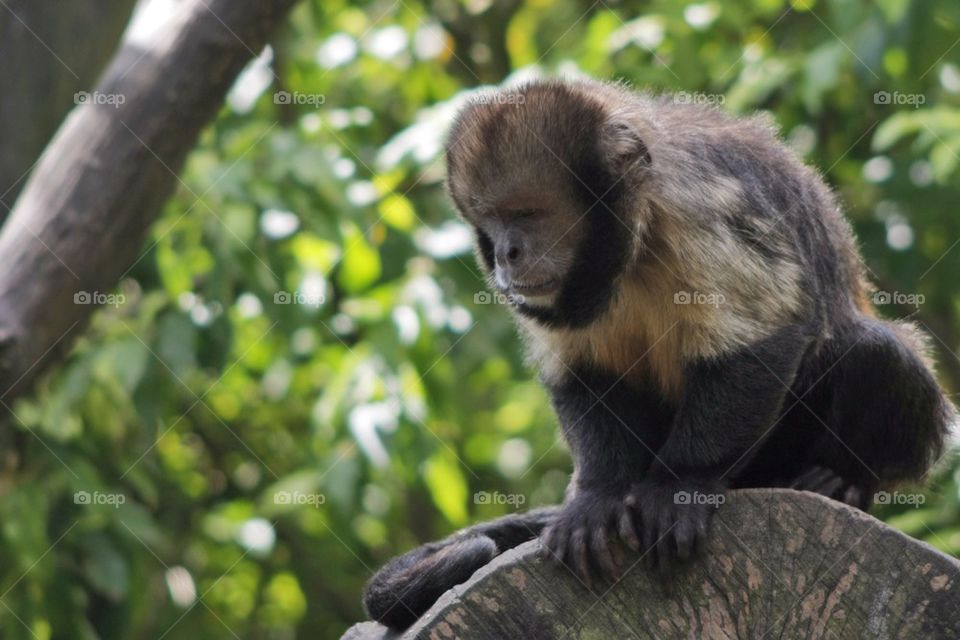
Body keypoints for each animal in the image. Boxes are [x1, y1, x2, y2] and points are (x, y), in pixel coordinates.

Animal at [363, 78, 954, 630]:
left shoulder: (701, 206)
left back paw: (842, 480)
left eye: (527, 214)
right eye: (490, 224)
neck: (636, 236)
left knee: (875, 351)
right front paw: (599, 495)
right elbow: (582, 374)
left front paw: (680, 486)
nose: (506, 253)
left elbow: (766, 337)